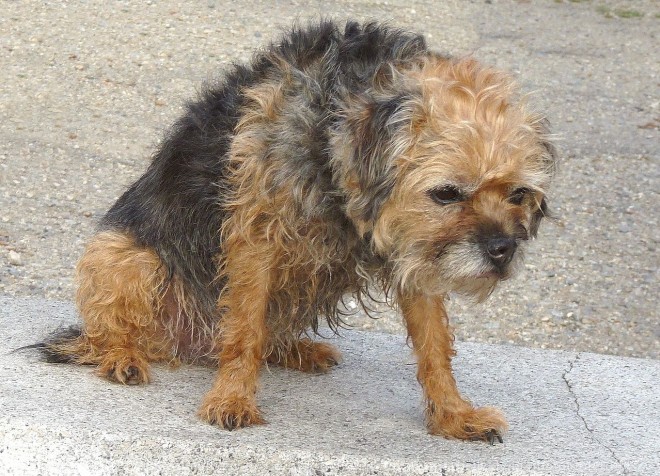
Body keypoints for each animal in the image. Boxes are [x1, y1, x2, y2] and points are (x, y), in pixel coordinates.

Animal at [37, 18, 556, 442]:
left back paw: (295, 351)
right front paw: (231, 399)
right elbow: (244, 330)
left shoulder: (414, 255)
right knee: (112, 334)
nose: (502, 250)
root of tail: (190, 346)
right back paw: (121, 357)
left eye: (518, 192)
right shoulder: (256, 239)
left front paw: (453, 415)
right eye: (447, 193)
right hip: (127, 256)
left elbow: (434, 346)